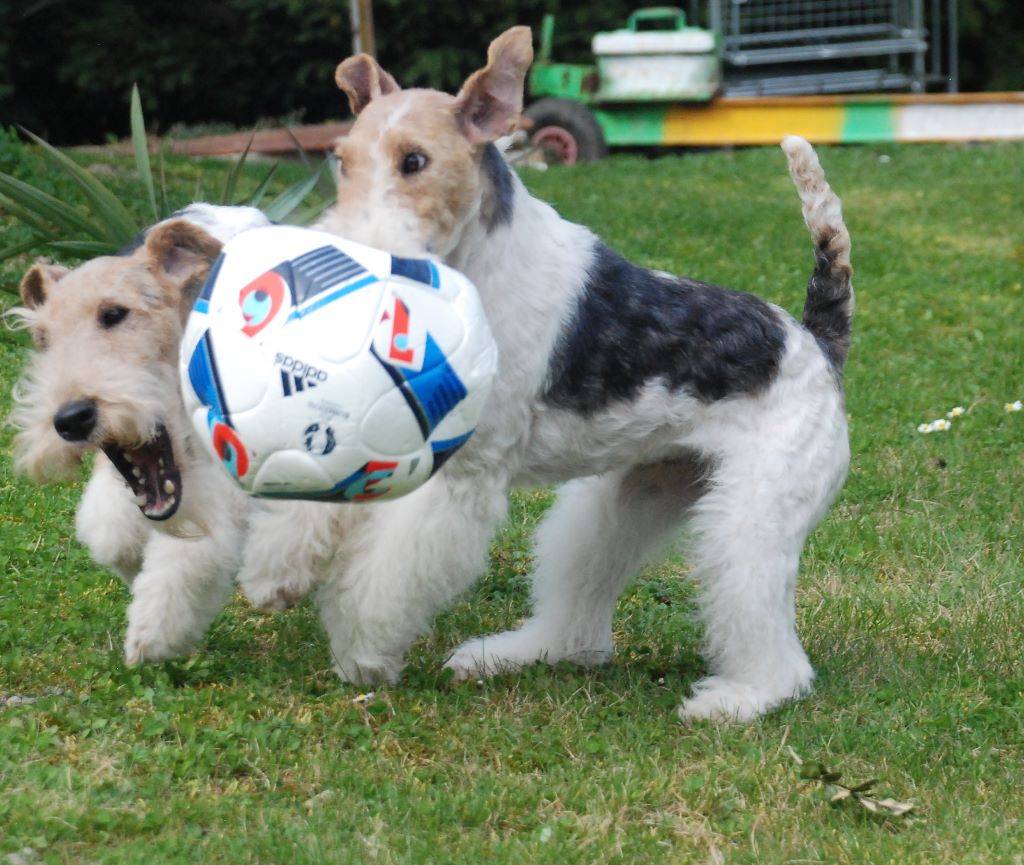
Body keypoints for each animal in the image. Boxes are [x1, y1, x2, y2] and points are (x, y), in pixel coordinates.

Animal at [311, 26, 856, 720]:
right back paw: (514, 654)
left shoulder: (464, 473)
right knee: (581, 604)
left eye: (414, 161)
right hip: (633, 492)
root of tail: (814, 340)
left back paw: (736, 700)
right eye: (342, 160)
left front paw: (361, 653)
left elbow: (386, 575)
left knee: (771, 638)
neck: (480, 262)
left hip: (756, 512)